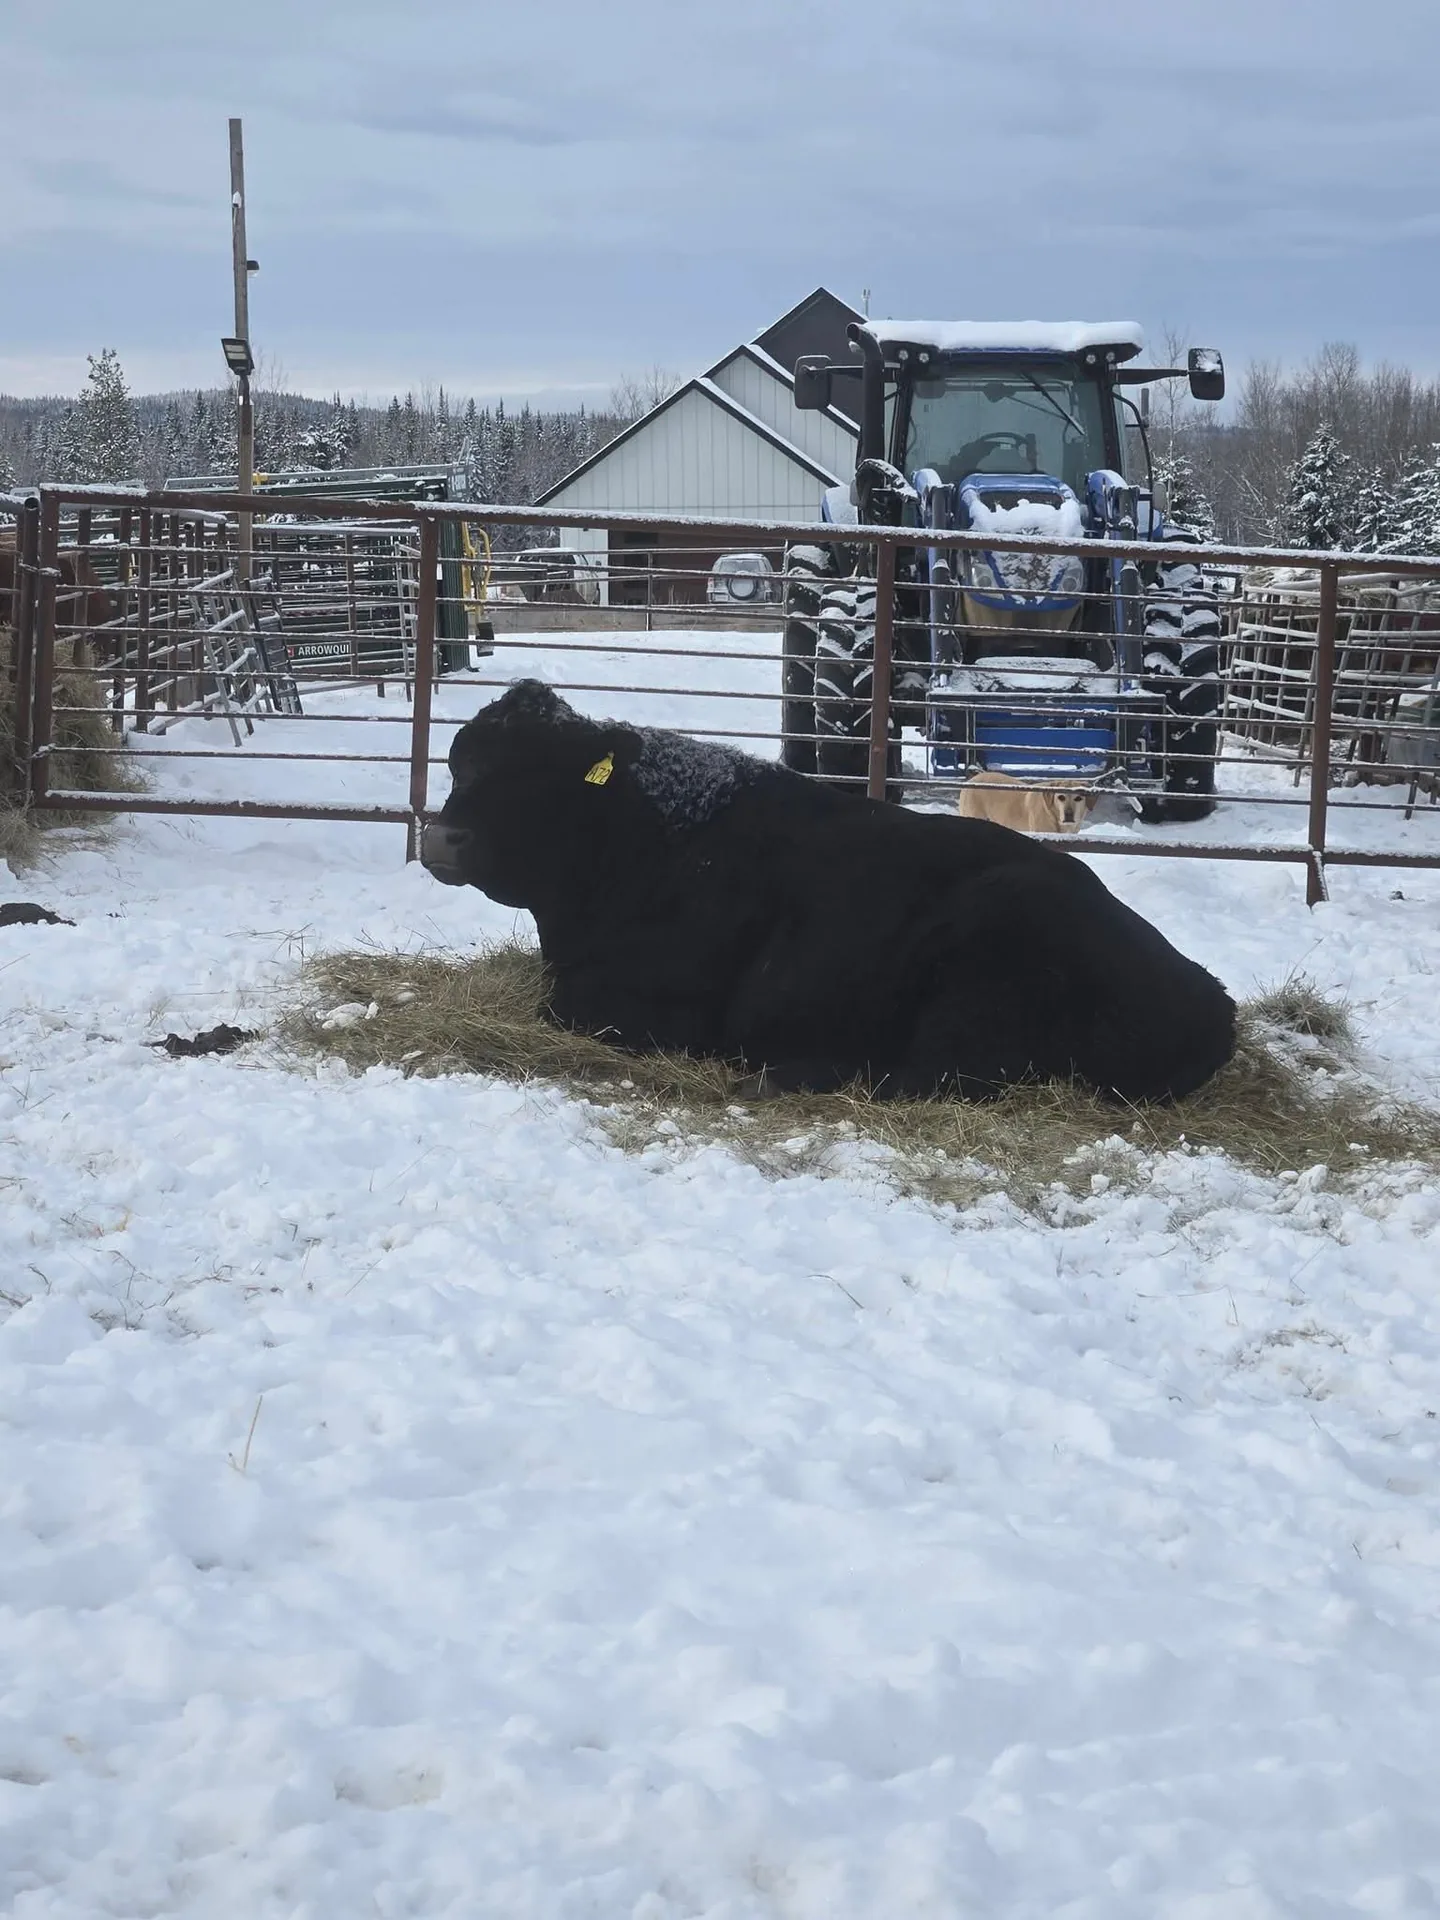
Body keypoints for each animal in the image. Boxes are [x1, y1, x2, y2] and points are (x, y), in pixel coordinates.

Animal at [421, 680, 1236, 1102]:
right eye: (460, 762)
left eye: (543, 776)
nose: (441, 839)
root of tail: (1209, 995)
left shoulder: (648, 1002)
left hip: (986, 973)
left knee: (921, 1077)